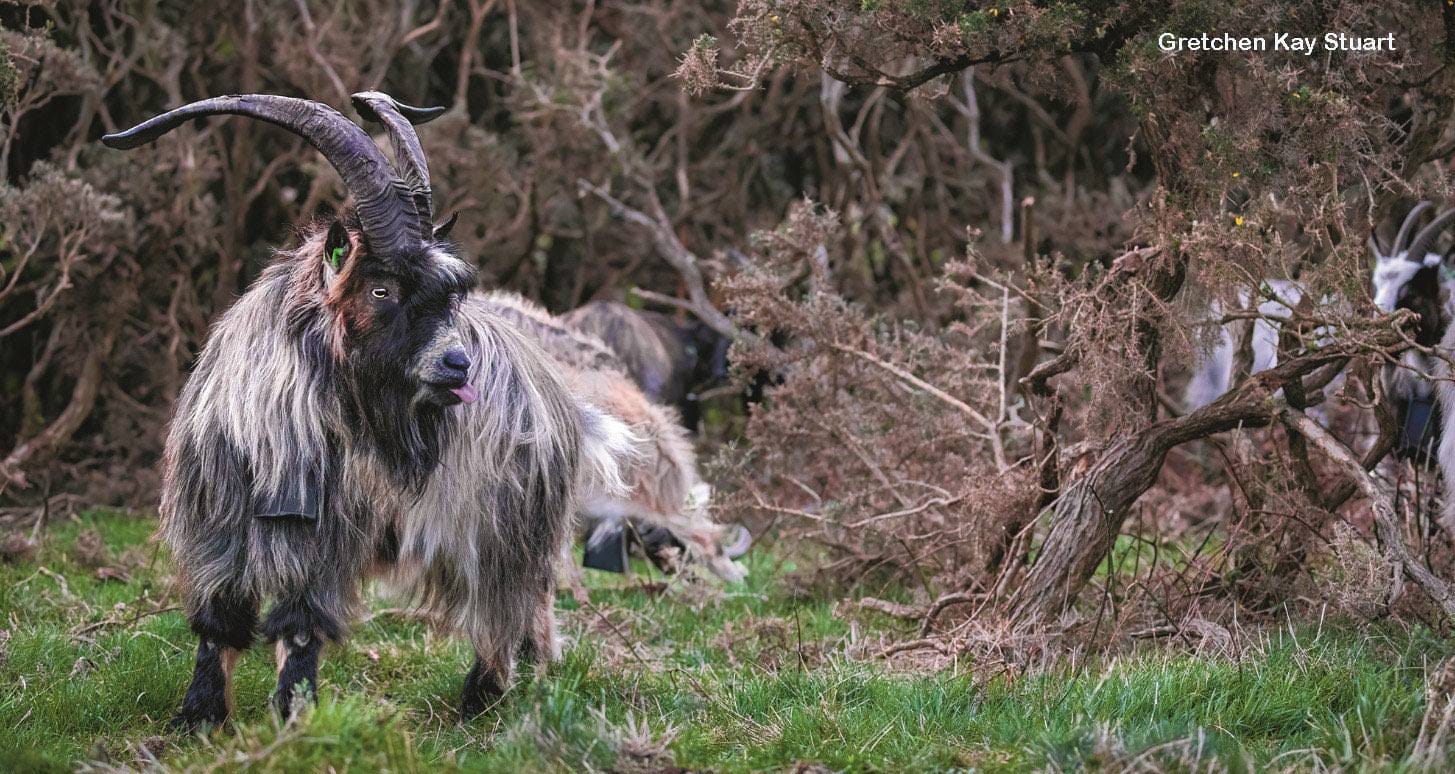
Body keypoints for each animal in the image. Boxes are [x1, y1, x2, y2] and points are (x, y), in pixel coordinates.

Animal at [104, 92, 631, 725]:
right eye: (381, 290)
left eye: (450, 295)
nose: (459, 365)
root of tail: (561, 396)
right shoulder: (218, 525)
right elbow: (219, 620)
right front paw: (199, 717)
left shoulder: (324, 539)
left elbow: (301, 624)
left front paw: (293, 716)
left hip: (507, 525)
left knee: (510, 603)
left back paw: (486, 696)